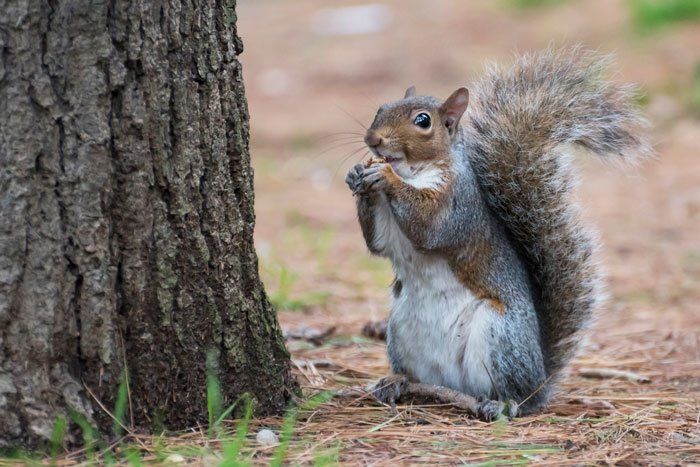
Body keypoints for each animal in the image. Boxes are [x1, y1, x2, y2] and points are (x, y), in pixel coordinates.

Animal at [345, 47, 652, 420]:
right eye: (380, 108)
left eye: (423, 121)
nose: (373, 140)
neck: (414, 172)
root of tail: (540, 379)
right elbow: (378, 243)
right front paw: (358, 175)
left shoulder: (458, 204)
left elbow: (429, 226)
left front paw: (385, 176)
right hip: (400, 330)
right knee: (422, 377)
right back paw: (398, 382)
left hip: (499, 335)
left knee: (515, 394)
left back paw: (502, 402)